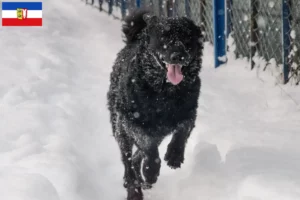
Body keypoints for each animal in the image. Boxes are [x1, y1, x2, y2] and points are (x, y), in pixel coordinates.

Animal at [108, 9, 204, 200]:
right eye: (163, 37)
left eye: (187, 37)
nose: (178, 55)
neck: (165, 93)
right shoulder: (132, 122)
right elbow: (149, 148)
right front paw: (151, 170)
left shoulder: (190, 112)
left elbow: (182, 130)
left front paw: (174, 155)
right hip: (120, 129)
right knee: (128, 160)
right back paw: (134, 189)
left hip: (156, 133)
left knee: (136, 157)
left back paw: (142, 181)